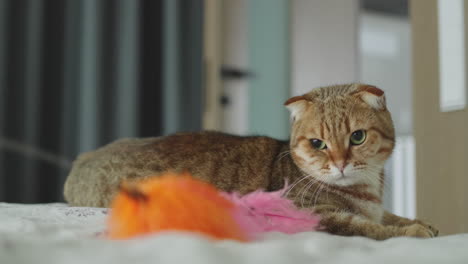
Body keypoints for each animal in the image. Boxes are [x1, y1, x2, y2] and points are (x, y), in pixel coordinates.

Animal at [63, 83, 438, 240]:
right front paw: (415, 231)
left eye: (357, 137)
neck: (365, 191)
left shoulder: (375, 208)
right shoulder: (319, 215)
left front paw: (421, 221)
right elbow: (373, 229)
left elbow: (391, 216)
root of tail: (83, 158)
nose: (340, 163)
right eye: (318, 144)